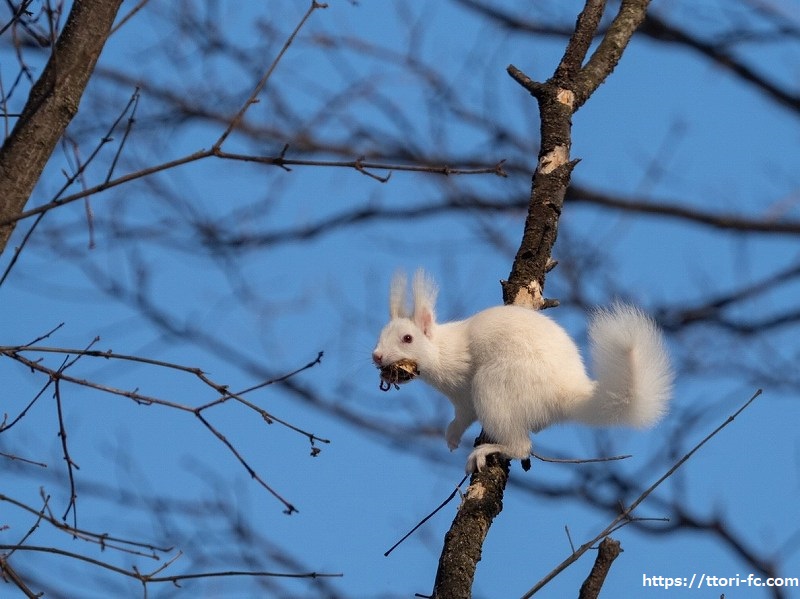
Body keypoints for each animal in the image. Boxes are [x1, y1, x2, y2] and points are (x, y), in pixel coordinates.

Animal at [372, 270, 672, 474]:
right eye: (380, 335)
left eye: (408, 339)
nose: (376, 356)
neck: (441, 351)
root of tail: (566, 392)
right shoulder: (459, 398)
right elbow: (463, 416)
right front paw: (453, 436)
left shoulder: (463, 389)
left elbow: (465, 414)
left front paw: (454, 434)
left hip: (494, 385)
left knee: (520, 446)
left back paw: (489, 450)